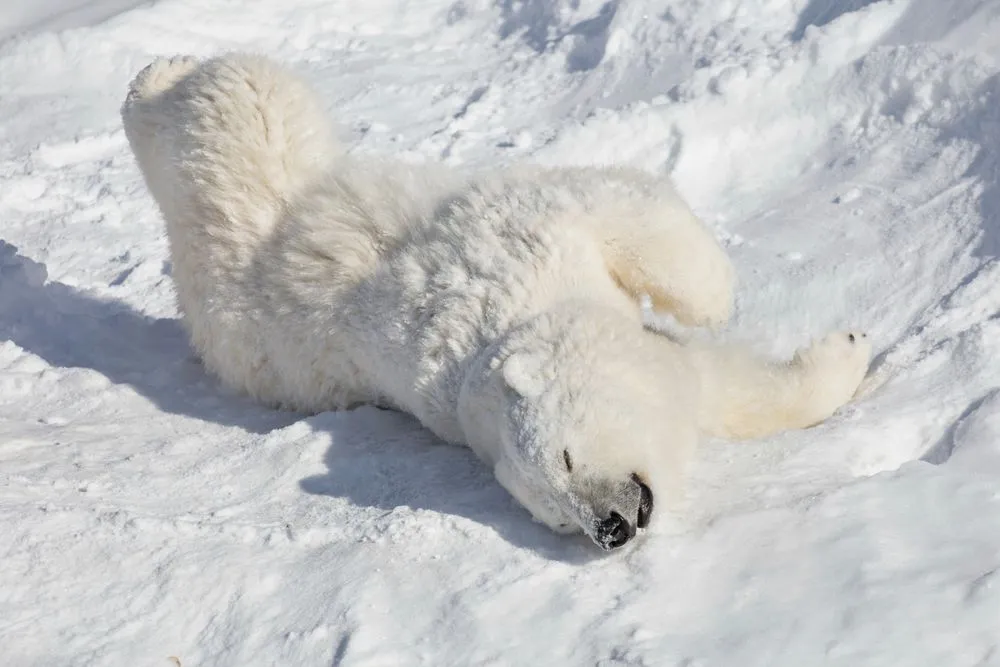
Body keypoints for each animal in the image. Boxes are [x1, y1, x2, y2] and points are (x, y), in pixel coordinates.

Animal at [120, 54, 871, 550]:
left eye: (564, 457)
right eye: (554, 513)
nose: (610, 528)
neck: (499, 338)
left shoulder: (521, 244)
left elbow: (623, 213)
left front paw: (740, 304)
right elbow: (719, 386)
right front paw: (847, 350)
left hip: (265, 185)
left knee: (244, 92)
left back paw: (154, 74)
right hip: (251, 332)